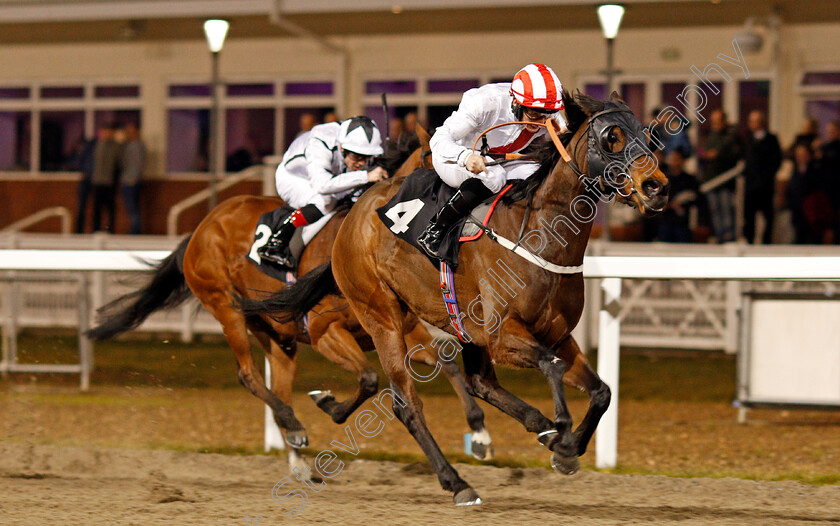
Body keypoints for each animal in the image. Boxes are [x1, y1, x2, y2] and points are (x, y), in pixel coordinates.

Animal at [240, 92, 672, 508]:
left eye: (648, 136)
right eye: (611, 136)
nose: (657, 187)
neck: (539, 234)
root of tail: (353, 215)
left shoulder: (557, 335)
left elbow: (601, 391)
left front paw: (566, 446)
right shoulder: (502, 337)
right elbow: (551, 366)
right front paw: (562, 433)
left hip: (458, 327)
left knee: (480, 382)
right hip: (382, 316)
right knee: (407, 404)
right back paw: (458, 482)